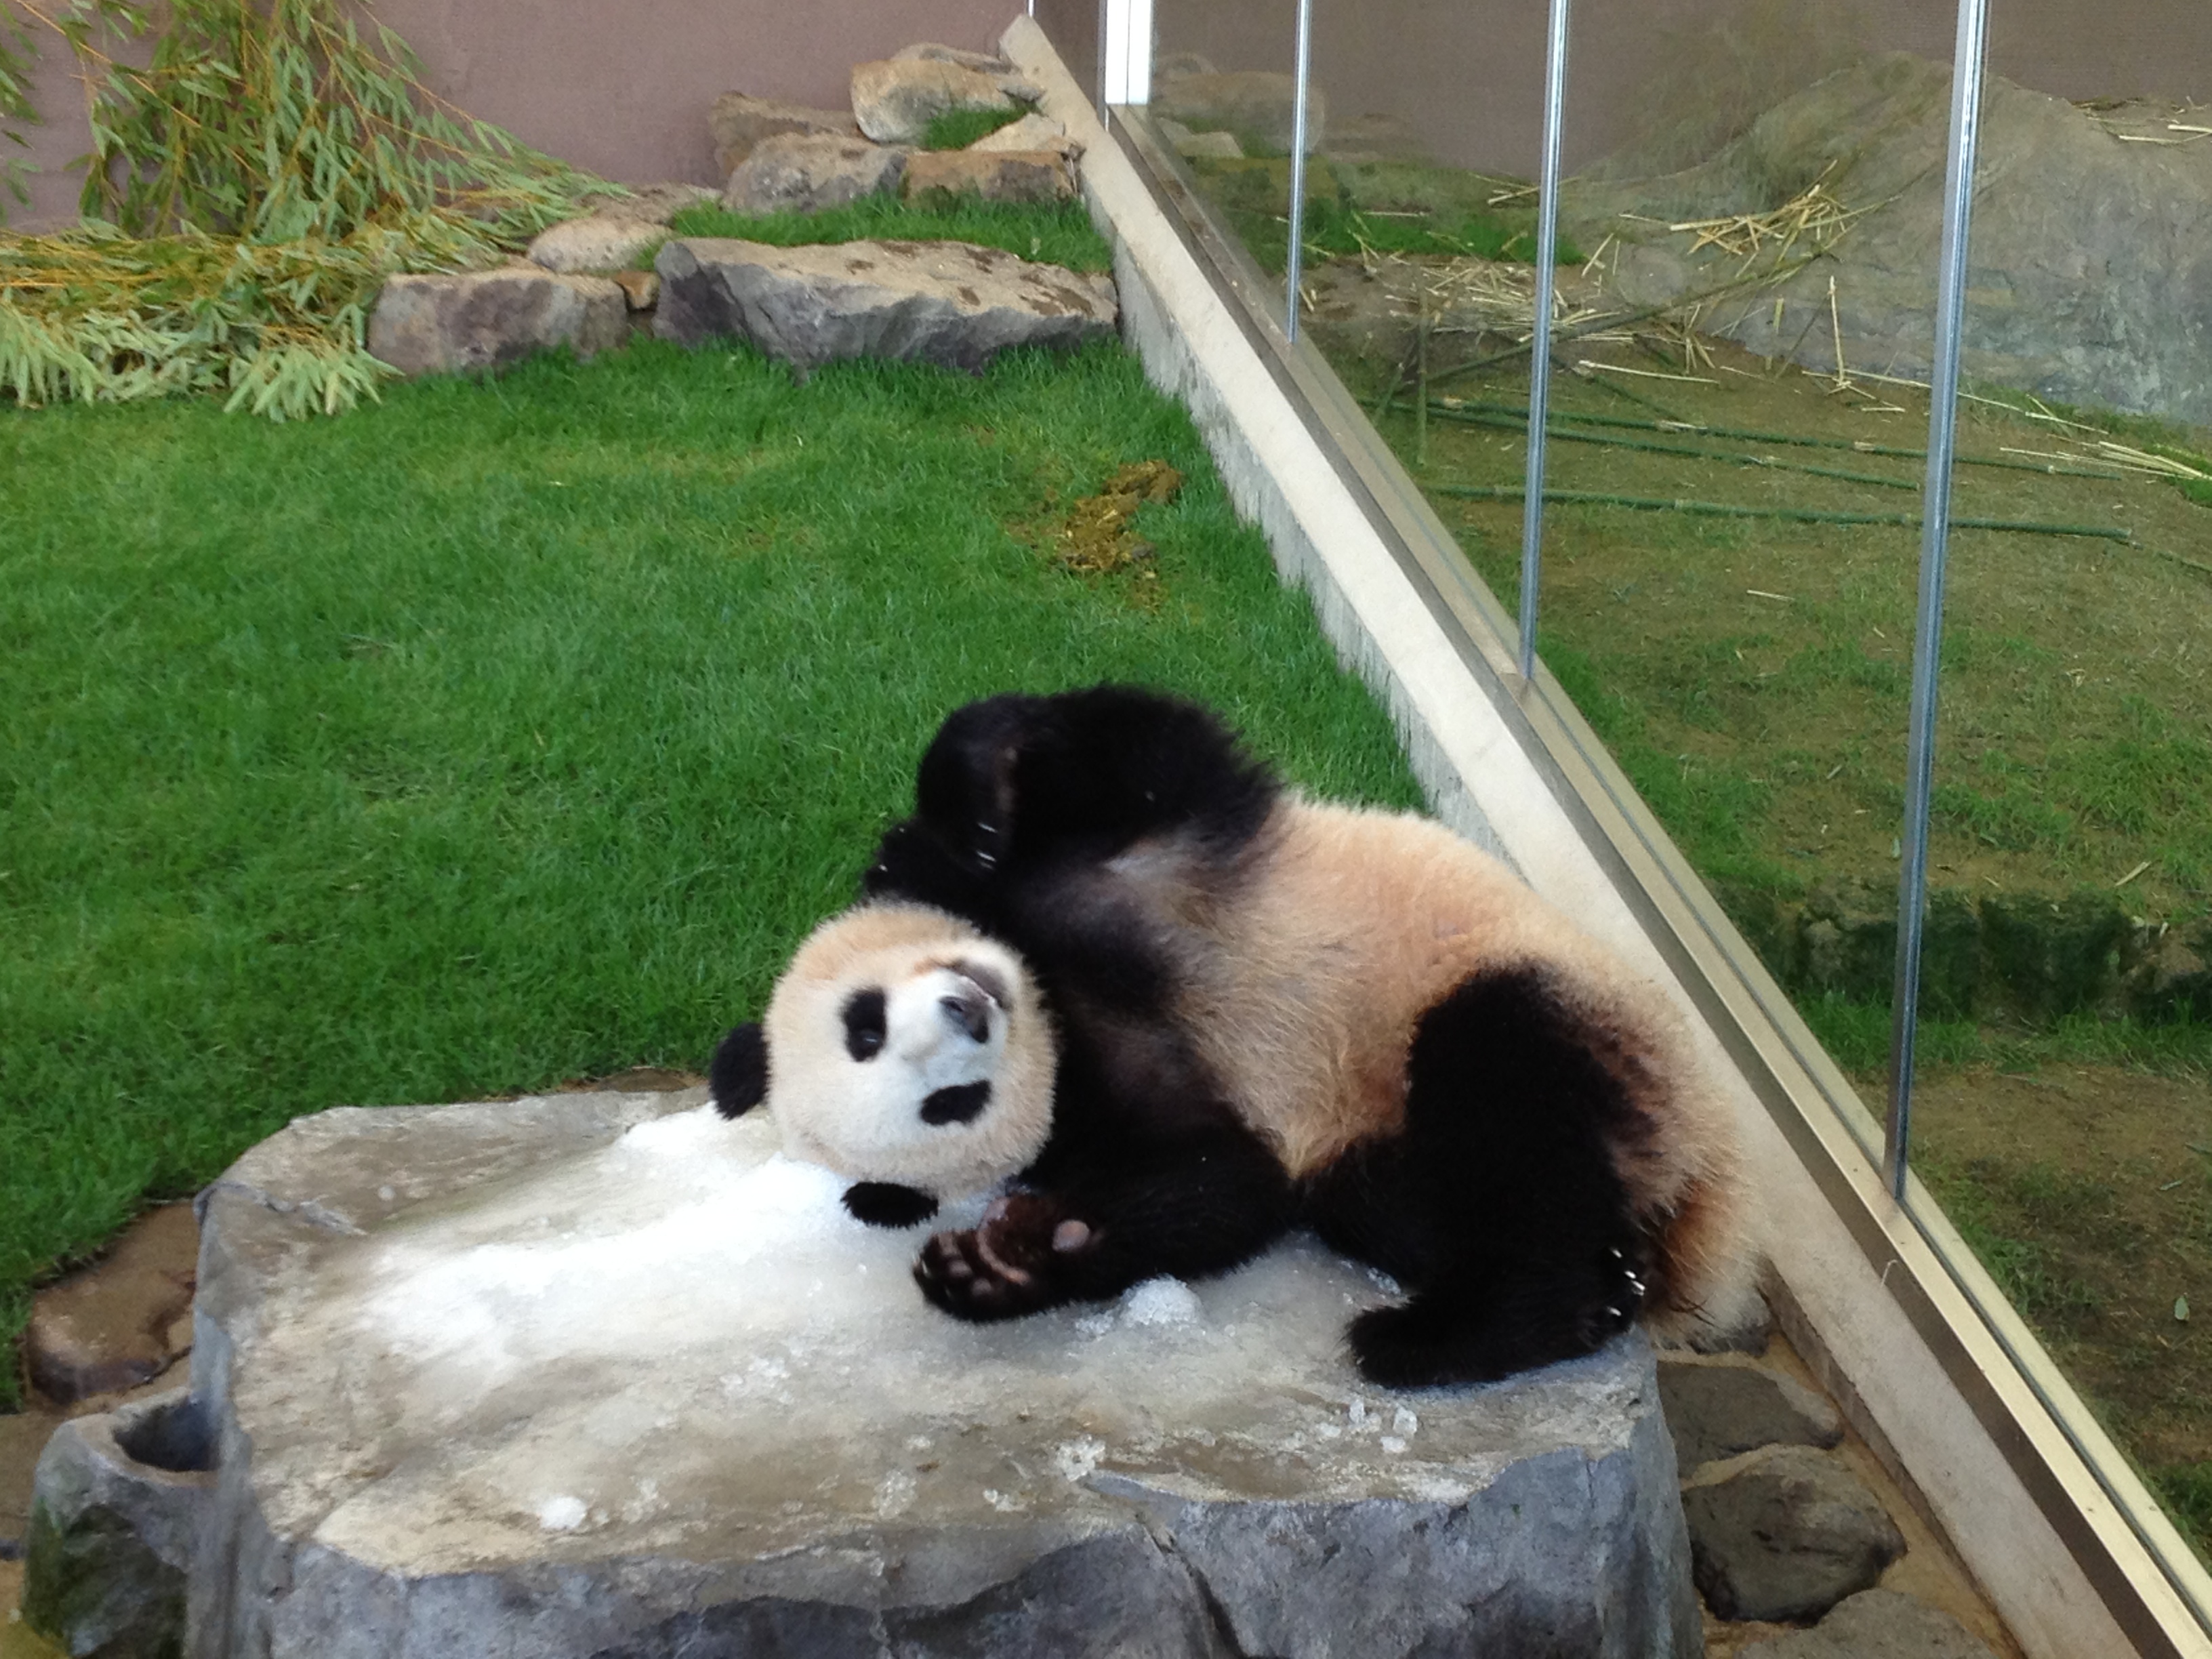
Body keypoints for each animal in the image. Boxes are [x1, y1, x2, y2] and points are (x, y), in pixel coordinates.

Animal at [711, 684, 1754, 1386]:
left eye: (865, 1022)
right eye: (946, 1106)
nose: (974, 1016)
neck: (1054, 991)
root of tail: (1704, 1169)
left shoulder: (1142, 849)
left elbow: (1126, 745)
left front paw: (975, 801)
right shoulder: (1111, 1097)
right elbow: (1225, 1181)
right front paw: (1001, 1264)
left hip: (1571, 1002)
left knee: (1501, 1074)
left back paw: (1459, 1328)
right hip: (1383, 1147)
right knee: (1439, 1187)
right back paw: (1548, 1303)